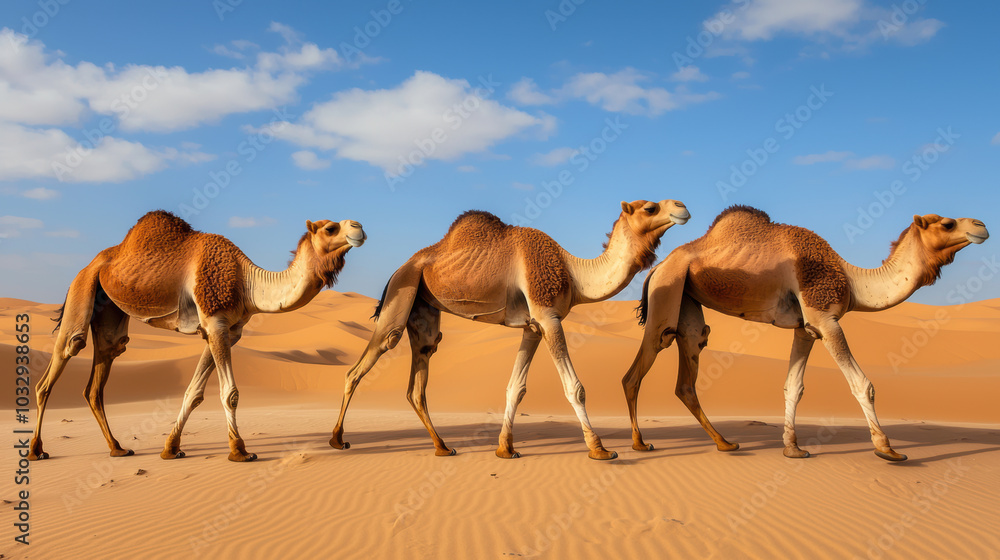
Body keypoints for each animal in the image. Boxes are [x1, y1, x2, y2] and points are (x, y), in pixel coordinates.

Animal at [29, 210, 366, 462]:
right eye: (330, 228)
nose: (360, 227)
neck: (248, 283)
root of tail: (94, 262)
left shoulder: (227, 331)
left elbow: (194, 392)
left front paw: (171, 448)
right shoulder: (215, 322)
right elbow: (230, 393)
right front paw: (240, 451)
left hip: (109, 309)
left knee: (100, 373)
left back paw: (118, 448)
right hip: (82, 286)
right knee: (64, 354)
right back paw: (36, 450)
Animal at [329, 200, 690, 460]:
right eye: (650, 208)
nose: (682, 206)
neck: (573, 273)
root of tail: (399, 268)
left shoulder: (533, 326)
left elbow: (515, 387)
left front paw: (505, 449)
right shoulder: (548, 317)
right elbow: (575, 388)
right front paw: (599, 449)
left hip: (423, 307)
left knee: (419, 375)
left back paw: (443, 447)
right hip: (402, 291)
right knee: (364, 362)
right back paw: (337, 440)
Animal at [623, 206, 988, 461]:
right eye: (947, 223)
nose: (981, 226)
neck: (853, 280)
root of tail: (657, 267)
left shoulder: (806, 329)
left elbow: (793, 387)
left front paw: (793, 449)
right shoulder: (826, 320)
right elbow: (863, 384)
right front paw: (888, 450)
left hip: (687, 298)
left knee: (688, 369)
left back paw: (725, 443)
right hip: (667, 292)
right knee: (640, 366)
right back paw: (641, 444)